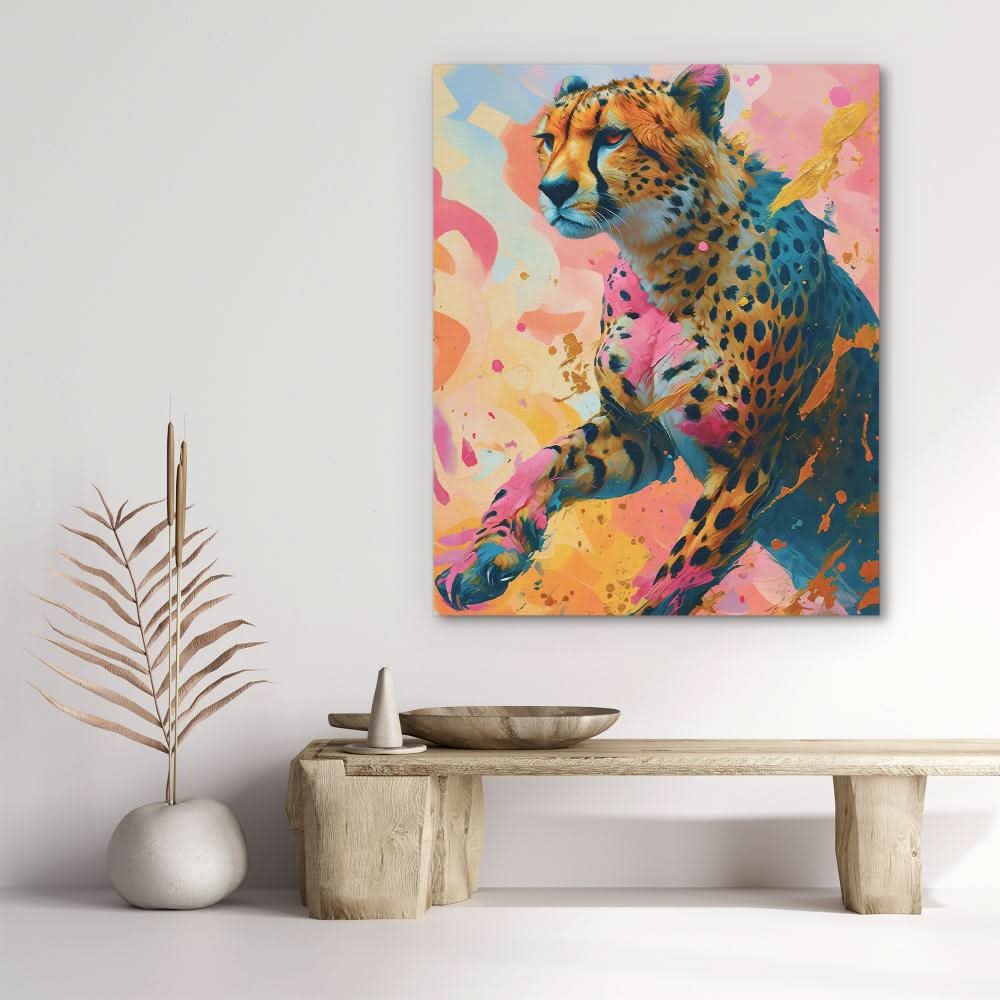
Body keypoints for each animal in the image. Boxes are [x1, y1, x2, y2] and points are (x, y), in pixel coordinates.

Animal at [436, 64, 879, 615]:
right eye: (548, 140)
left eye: (612, 136)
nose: (553, 189)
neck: (662, 260)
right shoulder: (639, 430)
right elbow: (546, 461)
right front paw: (488, 553)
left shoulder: (750, 464)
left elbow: (682, 572)